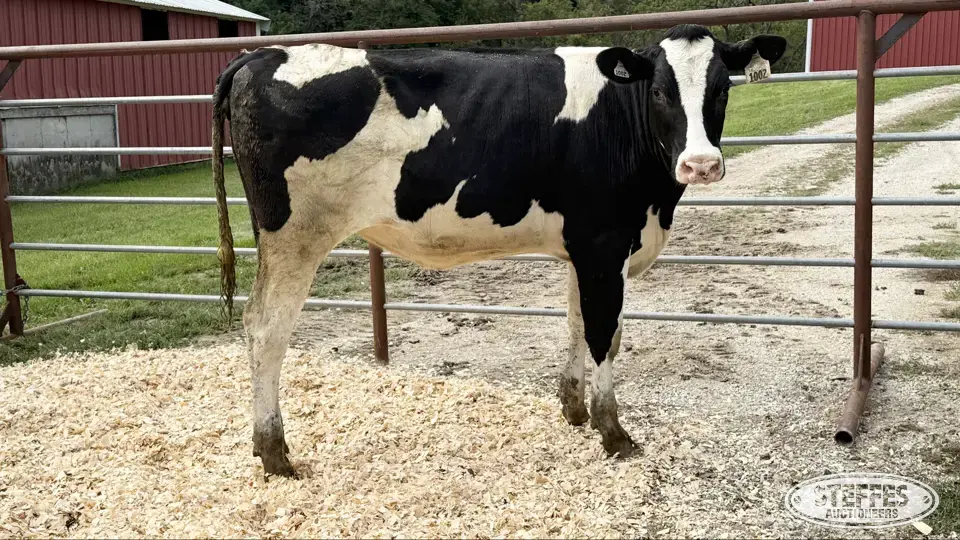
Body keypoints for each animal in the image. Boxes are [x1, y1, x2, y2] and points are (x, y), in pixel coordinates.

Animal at [211, 24, 786, 477]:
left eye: (722, 88)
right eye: (661, 91)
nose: (701, 164)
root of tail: (261, 55)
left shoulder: (582, 248)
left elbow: (577, 323)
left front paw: (574, 410)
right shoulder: (605, 245)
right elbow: (606, 335)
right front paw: (613, 432)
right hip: (294, 234)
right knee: (266, 328)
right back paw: (275, 452)